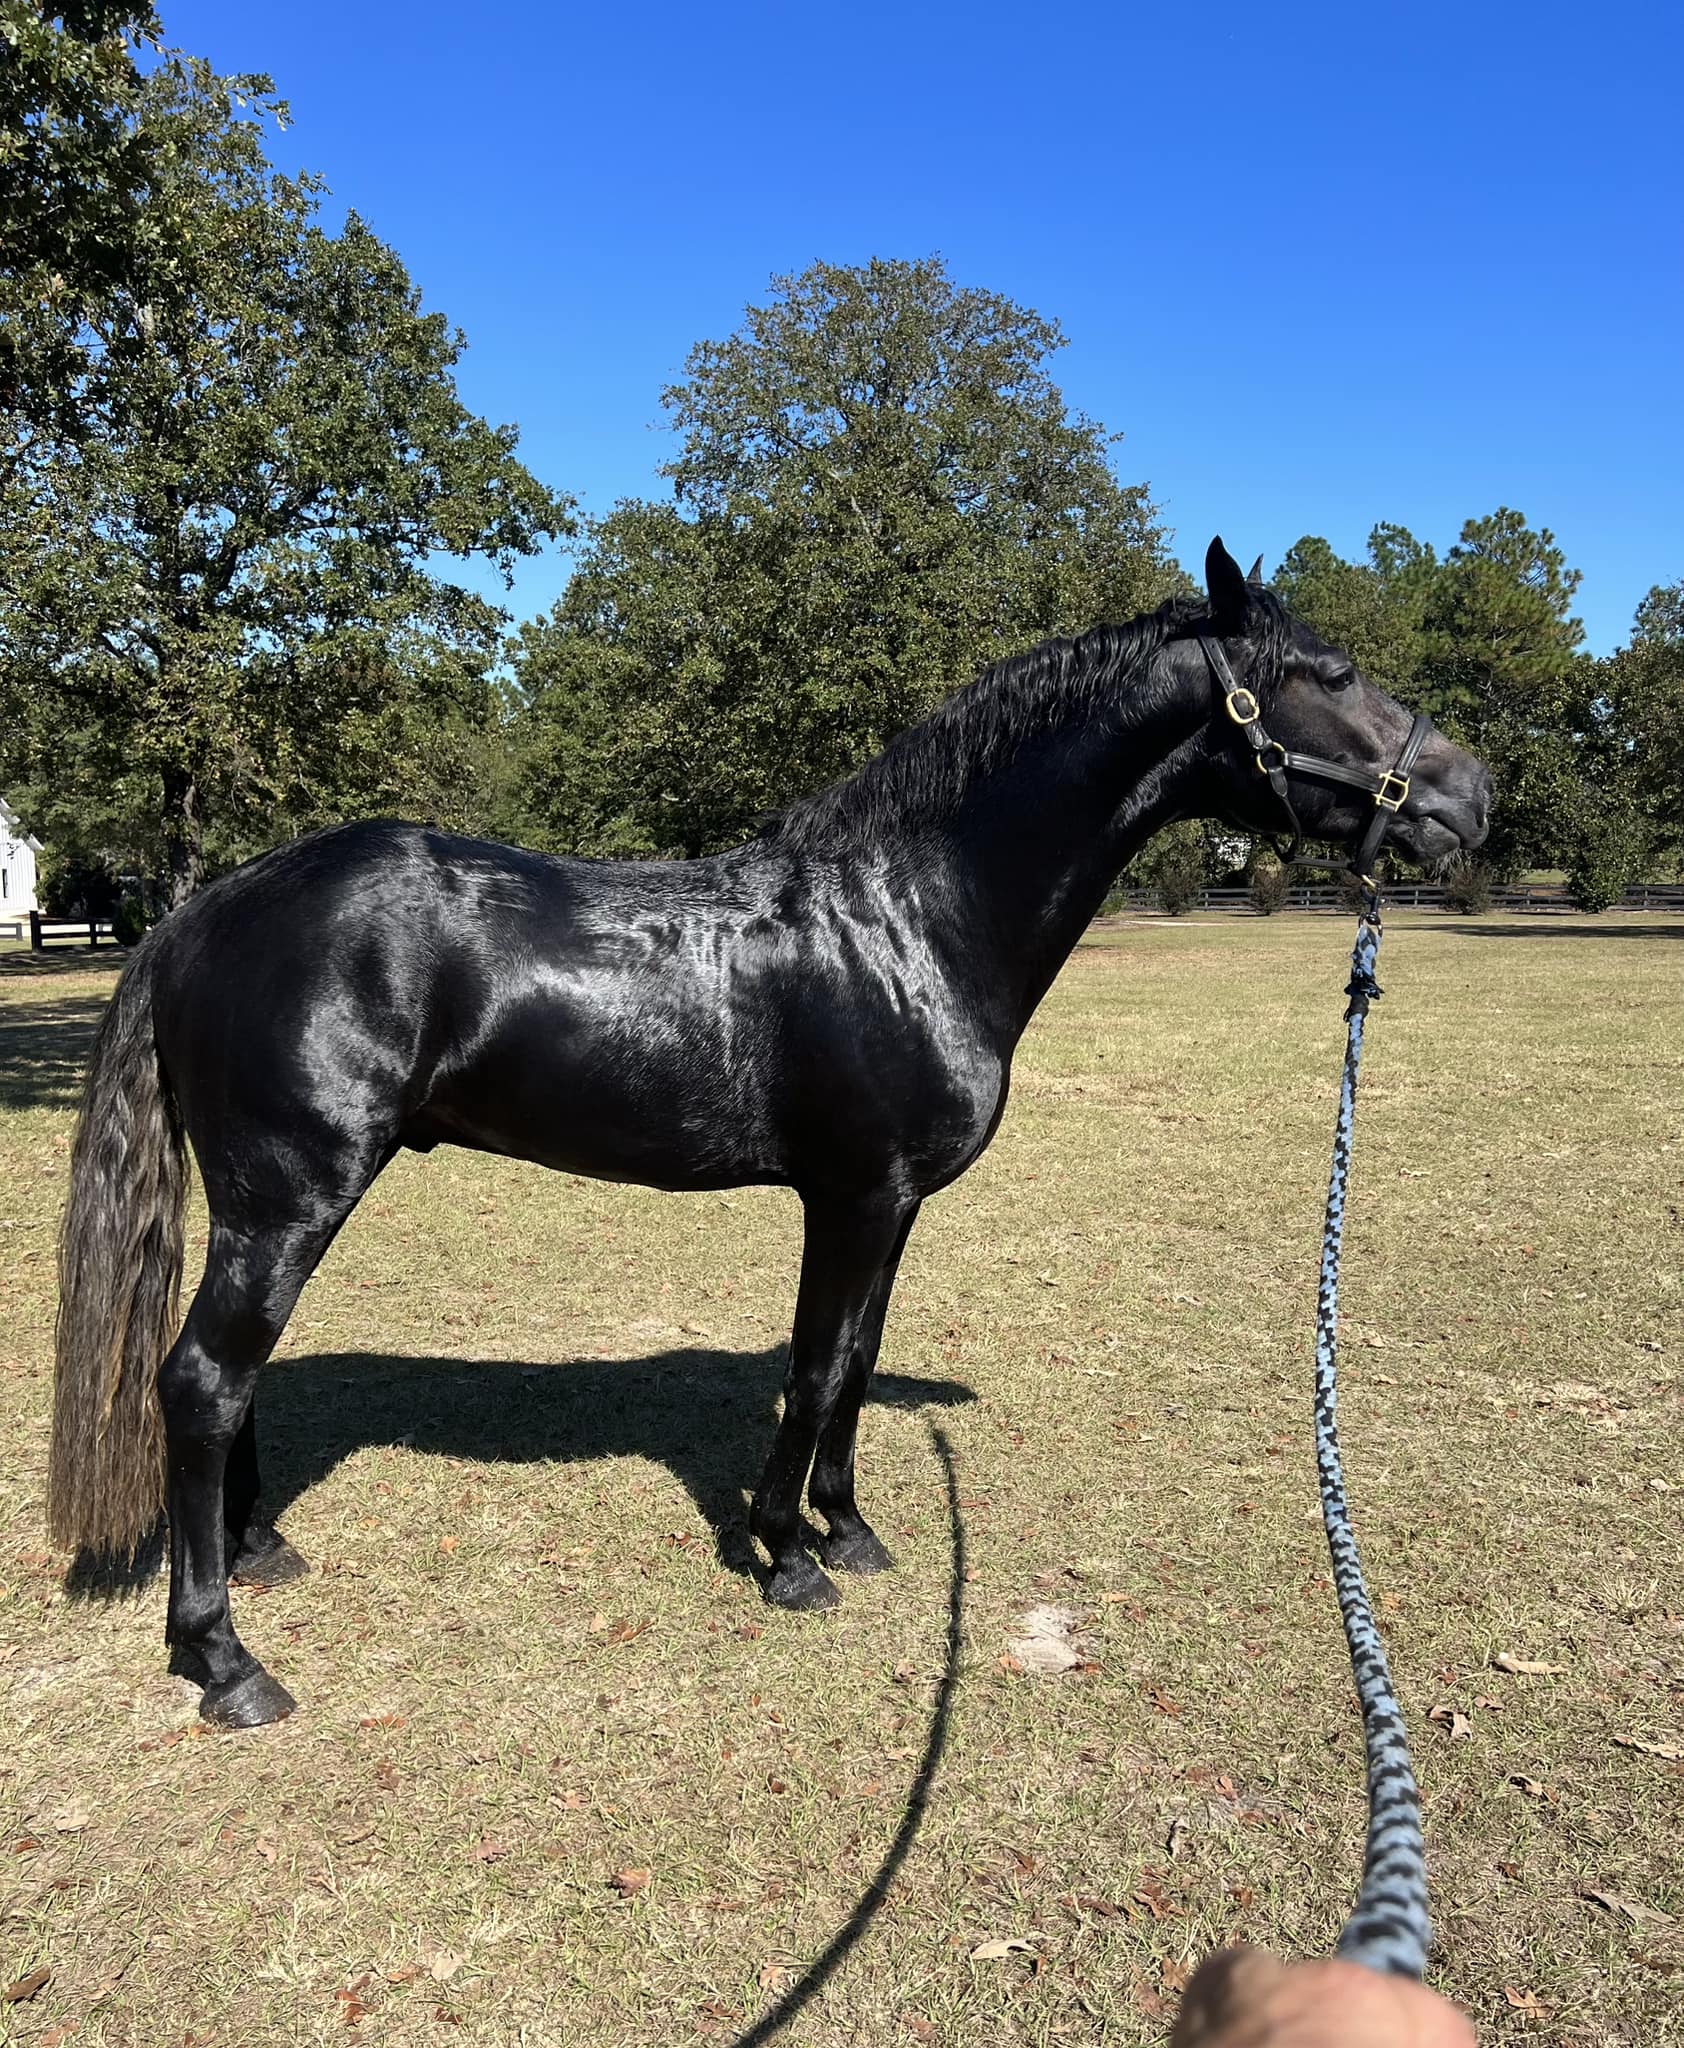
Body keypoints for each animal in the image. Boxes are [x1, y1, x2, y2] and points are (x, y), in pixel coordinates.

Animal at [48, 539, 1490, 1728]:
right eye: (1328, 675)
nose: (1470, 796)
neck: (909, 914)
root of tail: (200, 911)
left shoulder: (889, 1206)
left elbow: (852, 1365)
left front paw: (845, 1531)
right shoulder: (850, 1196)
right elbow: (814, 1365)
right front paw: (789, 1557)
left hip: (261, 1209)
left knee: (228, 1379)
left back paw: (257, 1553)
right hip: (291, 1199)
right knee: (202, 1377)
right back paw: (224, 1660)